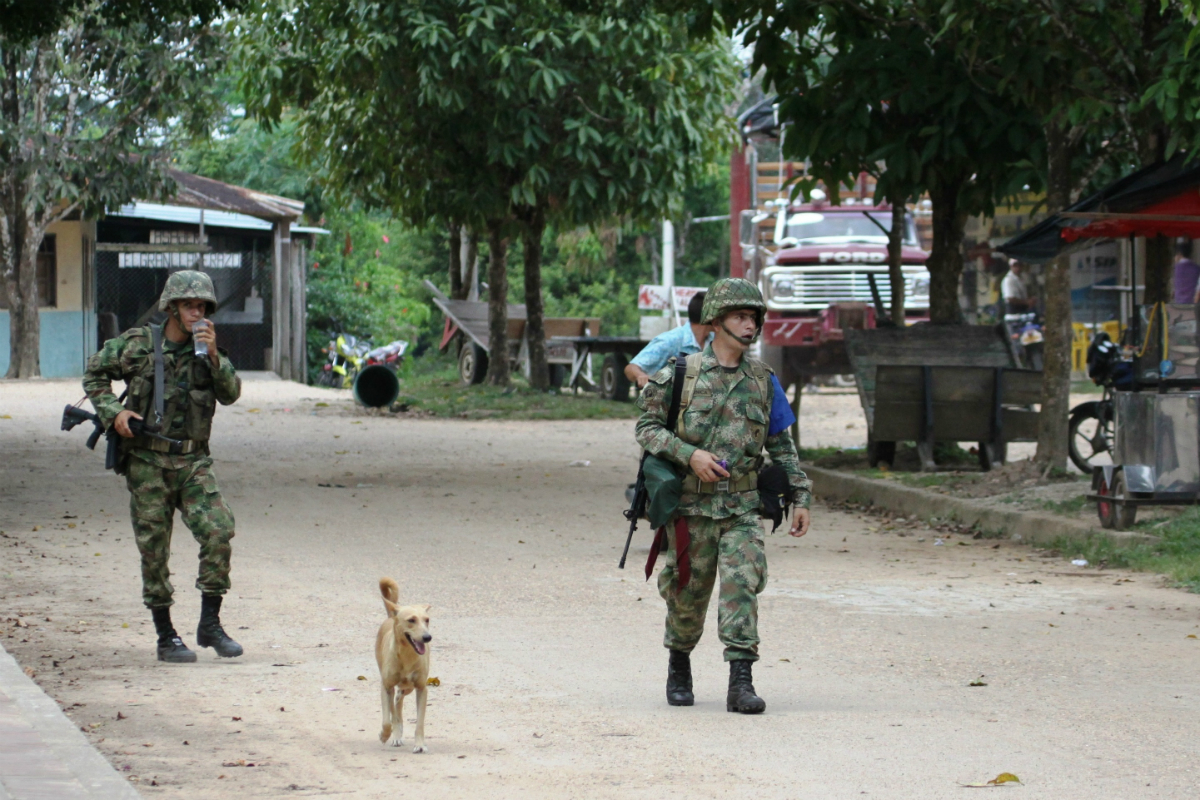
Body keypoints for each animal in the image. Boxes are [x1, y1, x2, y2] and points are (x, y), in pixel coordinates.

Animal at [376, 578, 434, 753]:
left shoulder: (422, 688)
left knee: (398, 699)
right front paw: (384, 735)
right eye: (411, 620)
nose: (427, 637)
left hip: (408, 687)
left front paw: (420, 744)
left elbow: (420, 722)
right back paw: (395, 735)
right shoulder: (386, 686)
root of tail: (392, 614)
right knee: (394, 710)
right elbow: (387, 720)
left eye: (427, 620)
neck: (407, 656)